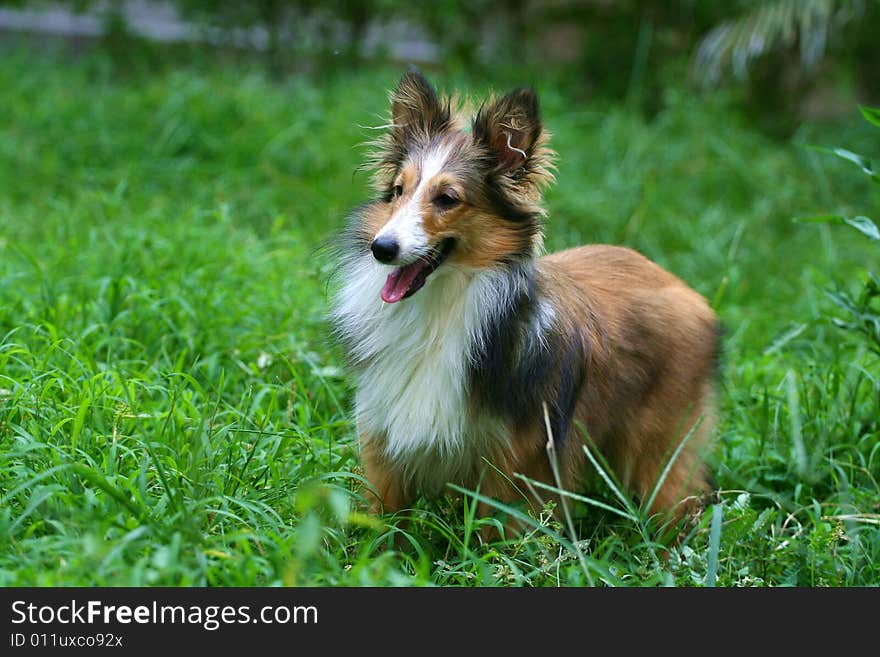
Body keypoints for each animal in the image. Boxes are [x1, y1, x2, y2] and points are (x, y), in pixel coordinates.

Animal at [326, 69, 720, 536]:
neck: (441, 309)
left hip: (660, 453)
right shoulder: (383, 448)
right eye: (399, 191)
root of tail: (686, 290)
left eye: (447, 199)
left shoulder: (518, 471)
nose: (381, 249)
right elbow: (382, 530)